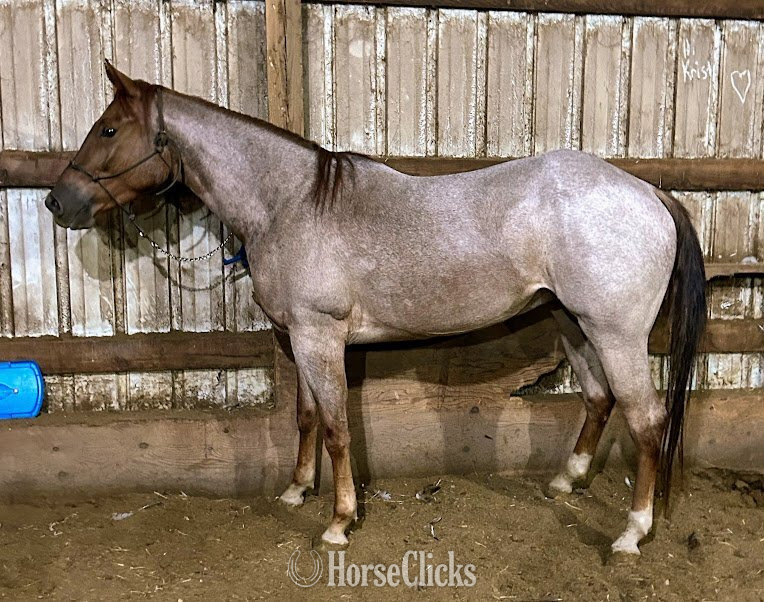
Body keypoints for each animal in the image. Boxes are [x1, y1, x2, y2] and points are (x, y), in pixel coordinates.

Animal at [45, 62, 706, 557]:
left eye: (108, 130)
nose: (58, 201)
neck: (291, 203)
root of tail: (651, 193)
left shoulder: (320, 339)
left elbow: (338, 428)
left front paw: (339, 521)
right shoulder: (301, 339)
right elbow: (307, 418)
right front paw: (296, 492)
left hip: (616, 334)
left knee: (646, 421)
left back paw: (632, 532)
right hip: (574, 323)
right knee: (598, 399)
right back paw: (567, 480)